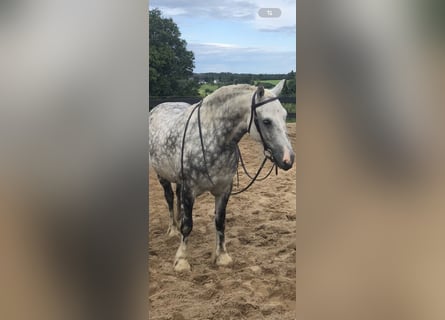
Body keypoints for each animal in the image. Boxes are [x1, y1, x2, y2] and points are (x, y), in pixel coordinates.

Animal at [149, 81, 294, 272]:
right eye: (266, 121)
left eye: (285, 116)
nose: (288, 159)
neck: (213, 139)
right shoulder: (189, 190)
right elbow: (187, 226)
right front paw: (181, 260)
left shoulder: (224, 190)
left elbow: (220, 222)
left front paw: (222, 256)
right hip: (162, 176)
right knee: (170, 198)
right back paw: (173, 229)